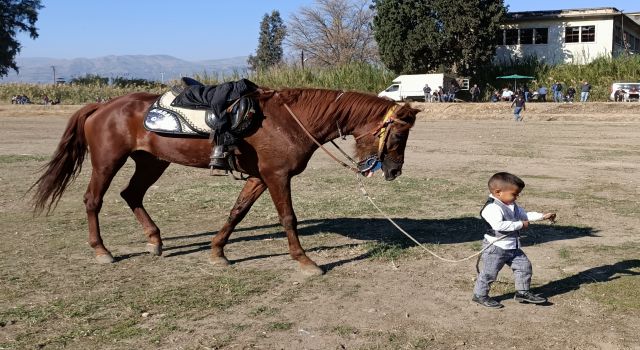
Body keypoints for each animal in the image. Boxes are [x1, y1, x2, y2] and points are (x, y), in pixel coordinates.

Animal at [30, 88, 420, 276]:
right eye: (400, 136)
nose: (394, 172)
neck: (288, 121)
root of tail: (102, 106)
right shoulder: (277, 176)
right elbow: (288, 219)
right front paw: (305, 262)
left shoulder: (260, 177)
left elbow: (237, 213)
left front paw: (218, 252)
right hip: (107, 161)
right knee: (93, 200)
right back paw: (102, 250)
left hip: (151, 161)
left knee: (132, 194)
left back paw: (155, 241)